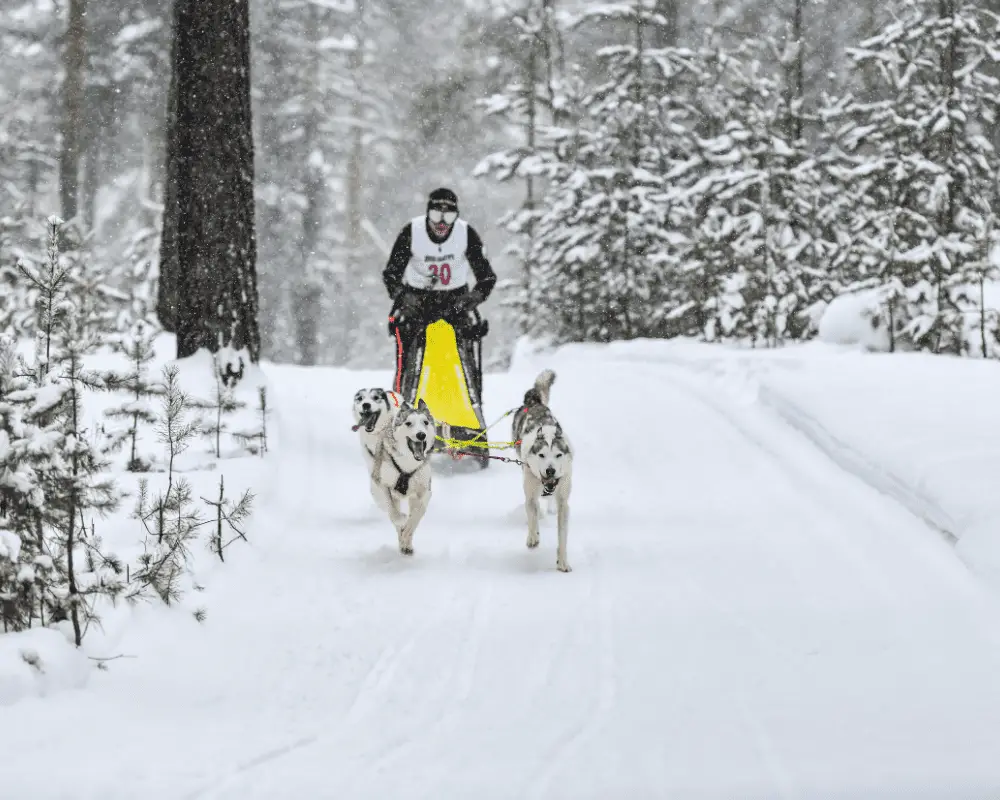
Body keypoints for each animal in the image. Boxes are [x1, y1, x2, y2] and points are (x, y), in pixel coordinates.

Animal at [366, 396, 432, 552]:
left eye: (425, 422)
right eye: (408, 423)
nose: (421, 434)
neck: (408, 464)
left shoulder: (424, 490)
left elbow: (417, 514)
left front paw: (407, 533)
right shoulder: (383, 485)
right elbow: (393, 512)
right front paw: (401, 521)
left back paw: (406, 543)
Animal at [512, 372, 576, 572]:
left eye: (558, 455)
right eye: (541, 455)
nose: (550, 470)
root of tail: (534, 402)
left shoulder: (564, 501)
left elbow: (562, 535)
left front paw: (562, 562)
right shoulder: (531, 492)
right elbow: (532, 515)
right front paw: (533, 537)